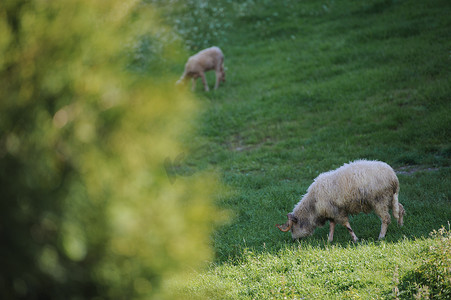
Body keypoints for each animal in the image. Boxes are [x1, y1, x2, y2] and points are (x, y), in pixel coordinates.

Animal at [276, 159, 406, 241]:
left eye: (293, 228)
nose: (294, 240)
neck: (313, 205)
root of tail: (393, 177)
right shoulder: (331, 212)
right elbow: (332, 226)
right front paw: (329, 240)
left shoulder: (337, 211)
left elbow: (346, 225)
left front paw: (355, 239)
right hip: (390, 199)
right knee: (400, 208)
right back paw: (400, 226)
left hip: (380, 200)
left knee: (386, 219)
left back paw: (381, 237)